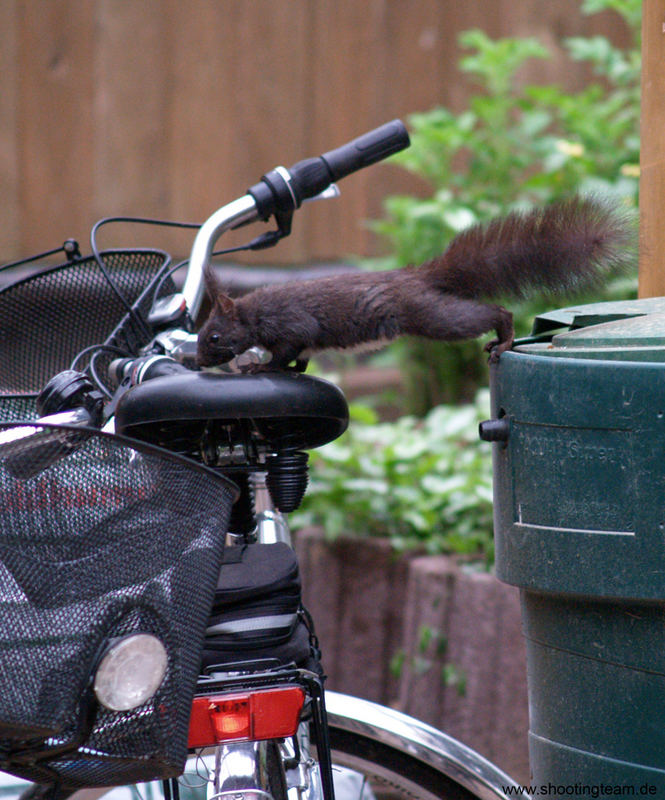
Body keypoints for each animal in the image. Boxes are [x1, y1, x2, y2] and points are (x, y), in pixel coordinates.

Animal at [196, 194, 632, 372]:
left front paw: (261, 367)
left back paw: (504, 337)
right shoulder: (301, 340)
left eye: (213, 336)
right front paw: (292, 369)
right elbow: (300, 358)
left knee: (492, 312)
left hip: (432, 316)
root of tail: (418, 275)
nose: (197, 362)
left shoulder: (291, 324)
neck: (255, 314)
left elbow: (286, 350)